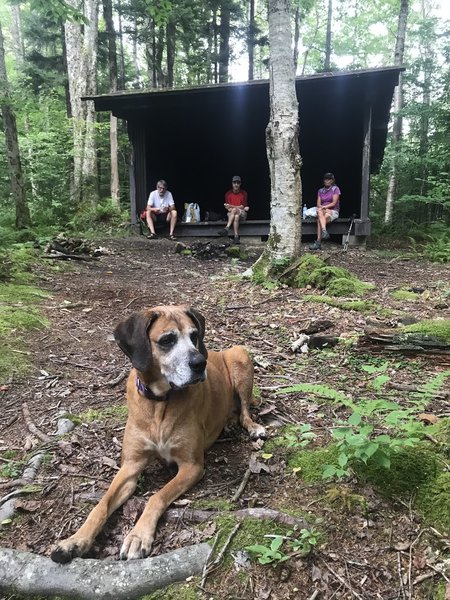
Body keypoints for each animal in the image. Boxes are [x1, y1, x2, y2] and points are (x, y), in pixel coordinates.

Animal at [51, 304, 266, 564]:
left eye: (194, 335)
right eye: (167, 340)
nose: (200, 362)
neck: (160, 403)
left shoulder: (191, 466)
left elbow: (157, 496)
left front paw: (137, 536)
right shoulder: (130, 466)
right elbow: (101, 504)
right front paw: (74, 540)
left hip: (239, 356)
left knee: (245, 410)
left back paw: (252, 427)